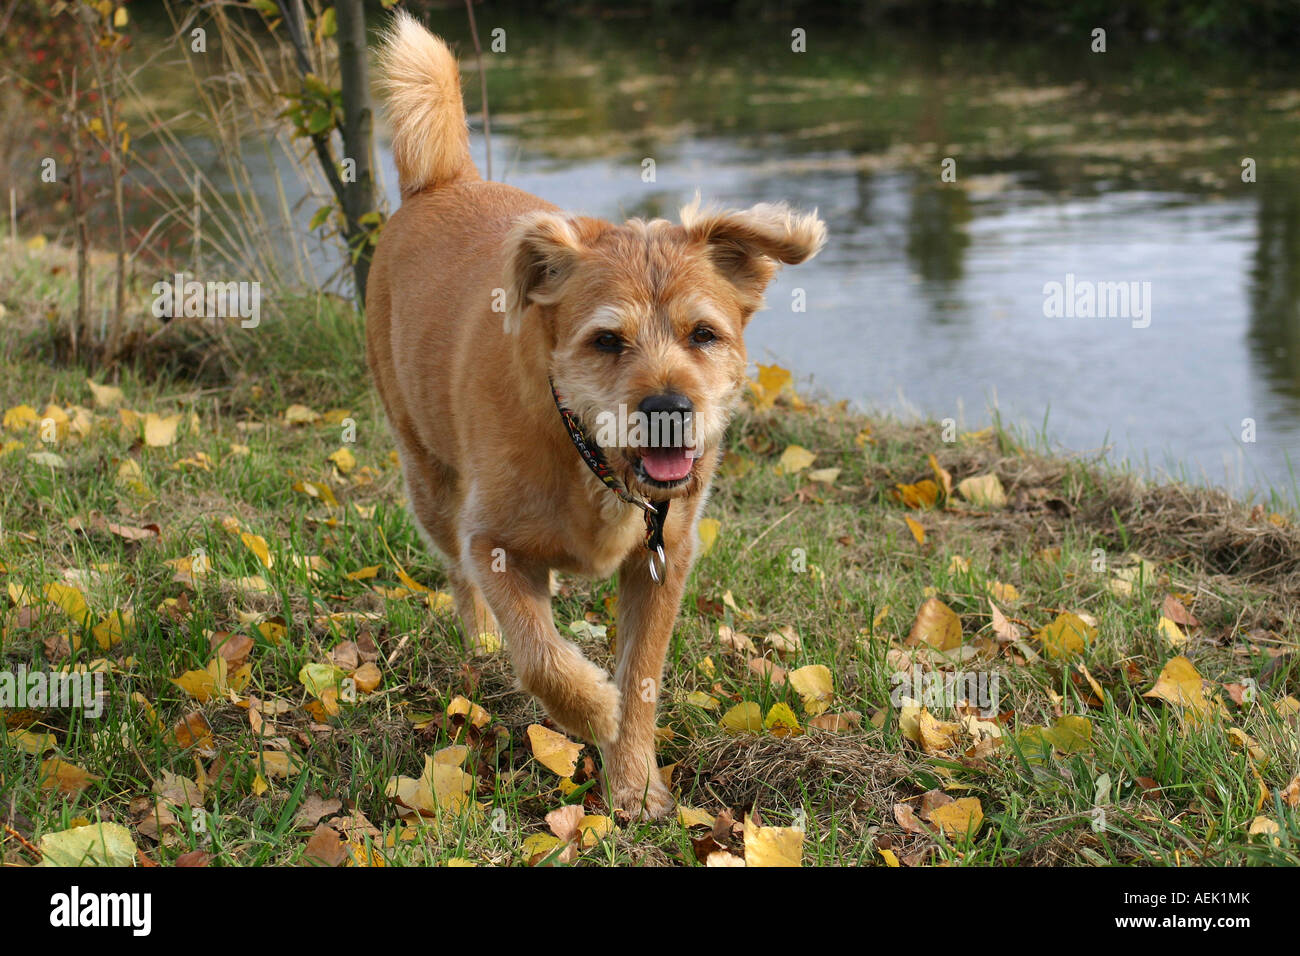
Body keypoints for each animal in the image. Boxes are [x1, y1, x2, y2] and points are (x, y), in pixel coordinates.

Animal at [366, 11, 821, 816]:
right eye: (607, 340)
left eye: (704, 335)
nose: (670, 408)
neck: (586, 455)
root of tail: (444, 181)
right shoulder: (493, 544)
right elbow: (542, 657)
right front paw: (593, 708)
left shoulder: (662, 561)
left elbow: (642, 676)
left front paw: (634, 784)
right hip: (429, 479)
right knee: (460, 577)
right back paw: (480, 645)